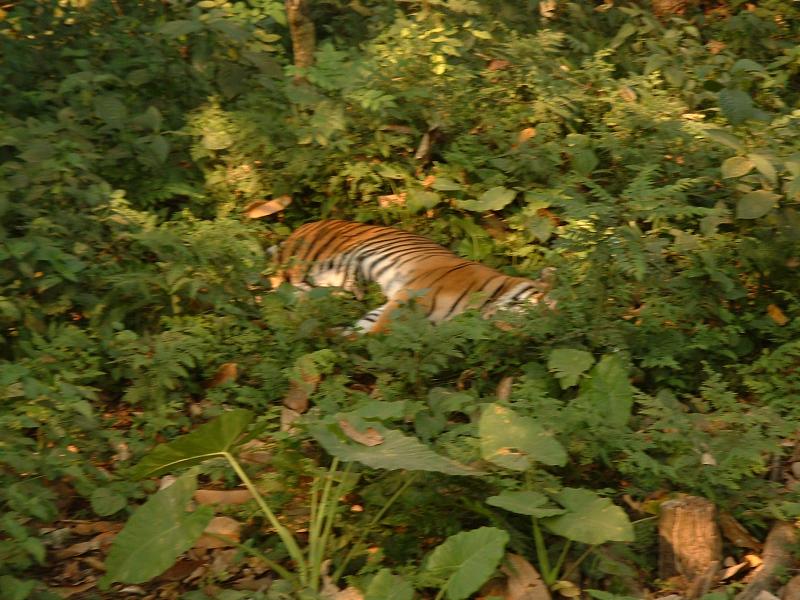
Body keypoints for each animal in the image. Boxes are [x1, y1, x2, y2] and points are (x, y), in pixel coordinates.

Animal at [272, 220, 552, 332]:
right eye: (549, 304)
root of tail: (299, 229)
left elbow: (365, 327)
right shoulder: (410, 295)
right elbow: (378, 331)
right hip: (307, 261)